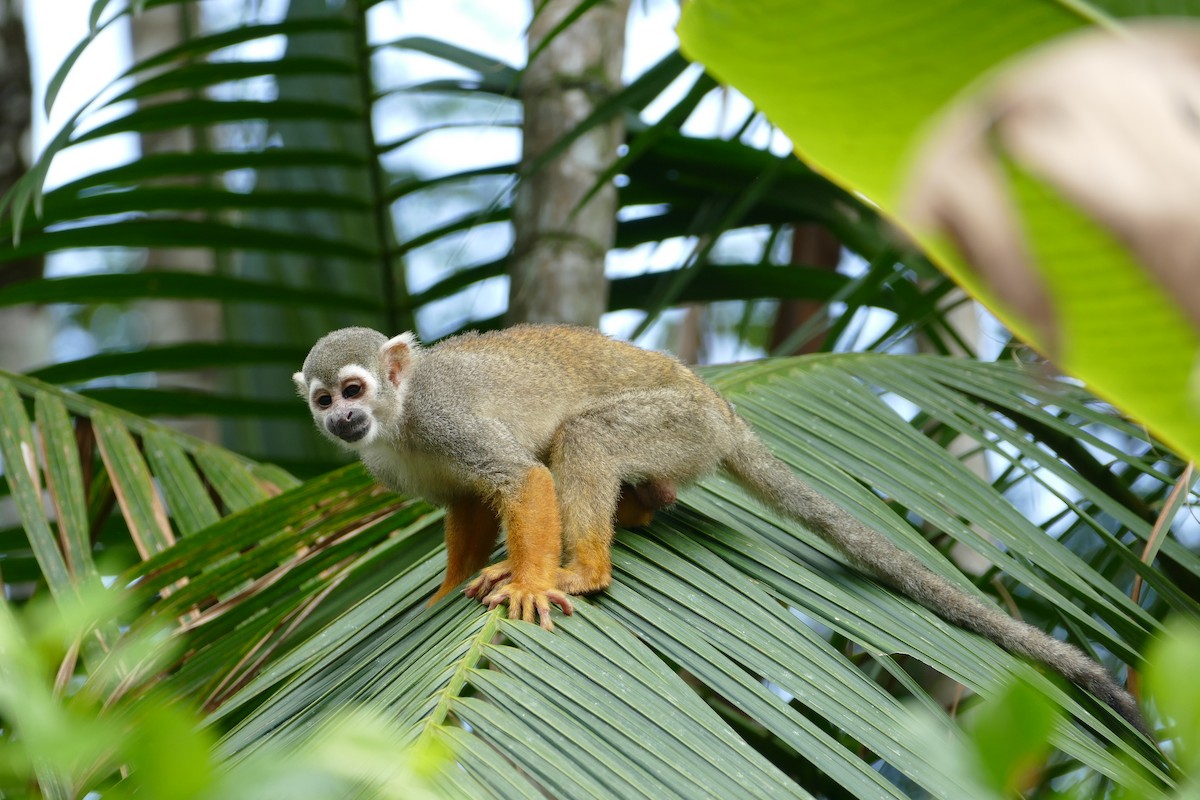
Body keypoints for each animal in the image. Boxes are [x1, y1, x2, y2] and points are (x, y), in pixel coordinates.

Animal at [294, 323, 1149, 736]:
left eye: (354, 388)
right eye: (323, 401)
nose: (339, 421)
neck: (400, 417)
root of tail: (721, 407)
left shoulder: (442, 419)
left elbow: (521, 480)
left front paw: (530, 582)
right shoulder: (394, 460)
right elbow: (469, 505)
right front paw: (446, 590)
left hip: (677, 422)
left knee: (587, 440)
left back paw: (587, 566)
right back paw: (645, 508)